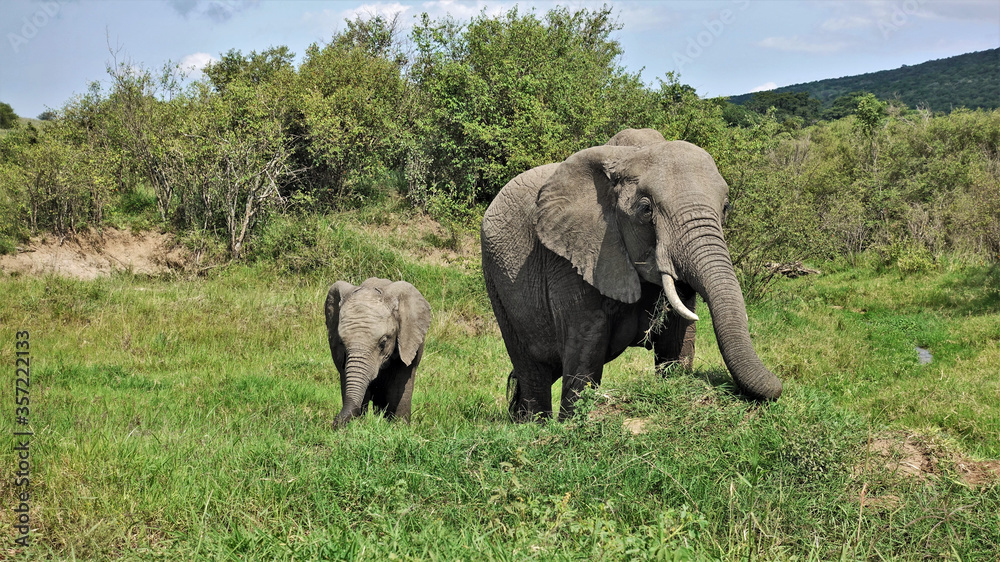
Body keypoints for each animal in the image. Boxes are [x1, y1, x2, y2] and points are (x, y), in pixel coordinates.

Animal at [481, 128, 782, 421]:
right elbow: (587, 343)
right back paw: (534, 425)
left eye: (726, 208)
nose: (780, 386)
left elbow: (677, 338)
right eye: (646, 210)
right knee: (532, 370)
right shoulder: (570, 258)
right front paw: (573, 424)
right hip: (496, 280)